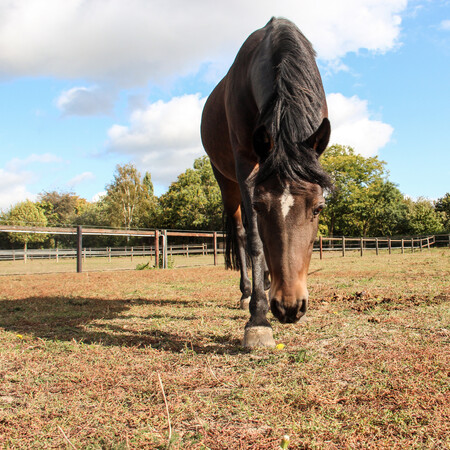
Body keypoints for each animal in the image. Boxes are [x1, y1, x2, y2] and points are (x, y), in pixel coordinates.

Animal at [202, 17, 332, 348]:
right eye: (260, 207)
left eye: (318, 208)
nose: (289, 307)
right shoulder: (246, 164)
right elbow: (255, 241)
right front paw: (258, 319)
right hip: (226, 182)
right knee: (240, 234)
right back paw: (248, 293)